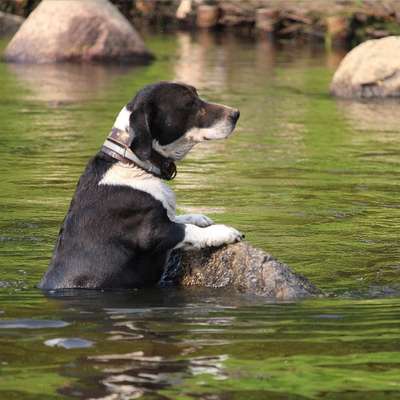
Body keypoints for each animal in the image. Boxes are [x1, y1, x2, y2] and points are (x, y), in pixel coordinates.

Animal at [39, 81, 242, 290]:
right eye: (189, 103)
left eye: (197, 95)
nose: (236, 113)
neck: (131, 162)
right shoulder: (153, 232)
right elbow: (186, 230)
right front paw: (223, 231)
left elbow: (177, 217)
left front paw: (199, 218)